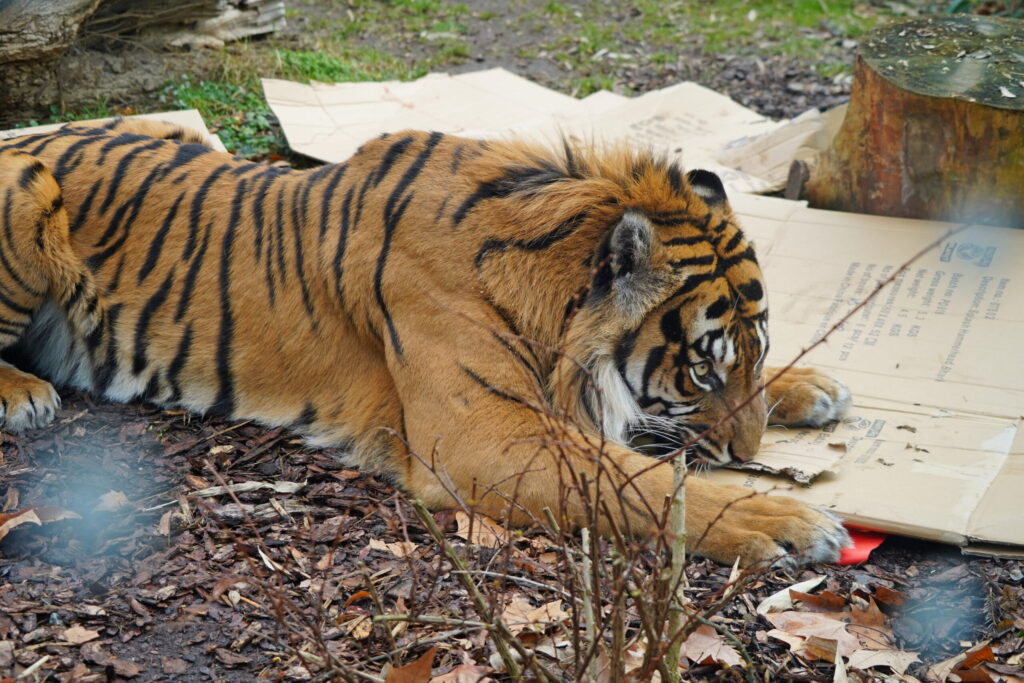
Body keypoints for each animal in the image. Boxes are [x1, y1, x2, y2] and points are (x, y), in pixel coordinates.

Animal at [0, 117, 847, 565]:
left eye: (753, 357)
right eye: (703, 374)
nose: (749, 451)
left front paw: (812, 384)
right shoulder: (487, 437)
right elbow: (650, 479)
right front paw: (791, 522)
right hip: (28, 187)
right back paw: (25, 394)